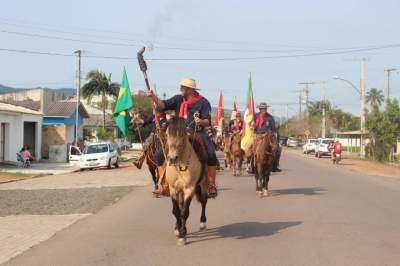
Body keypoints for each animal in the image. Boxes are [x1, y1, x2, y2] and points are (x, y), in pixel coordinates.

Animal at [166, 117, 209, 246]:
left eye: (183, 135)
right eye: (166, 134)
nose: (172, 158)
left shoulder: (189, 189)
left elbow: (184, 212)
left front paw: (182, 235)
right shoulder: (173, 189)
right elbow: (176, 211)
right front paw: (177, 229)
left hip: (203, 183)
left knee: (204, 201)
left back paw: (202, 222)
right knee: (180, 205)